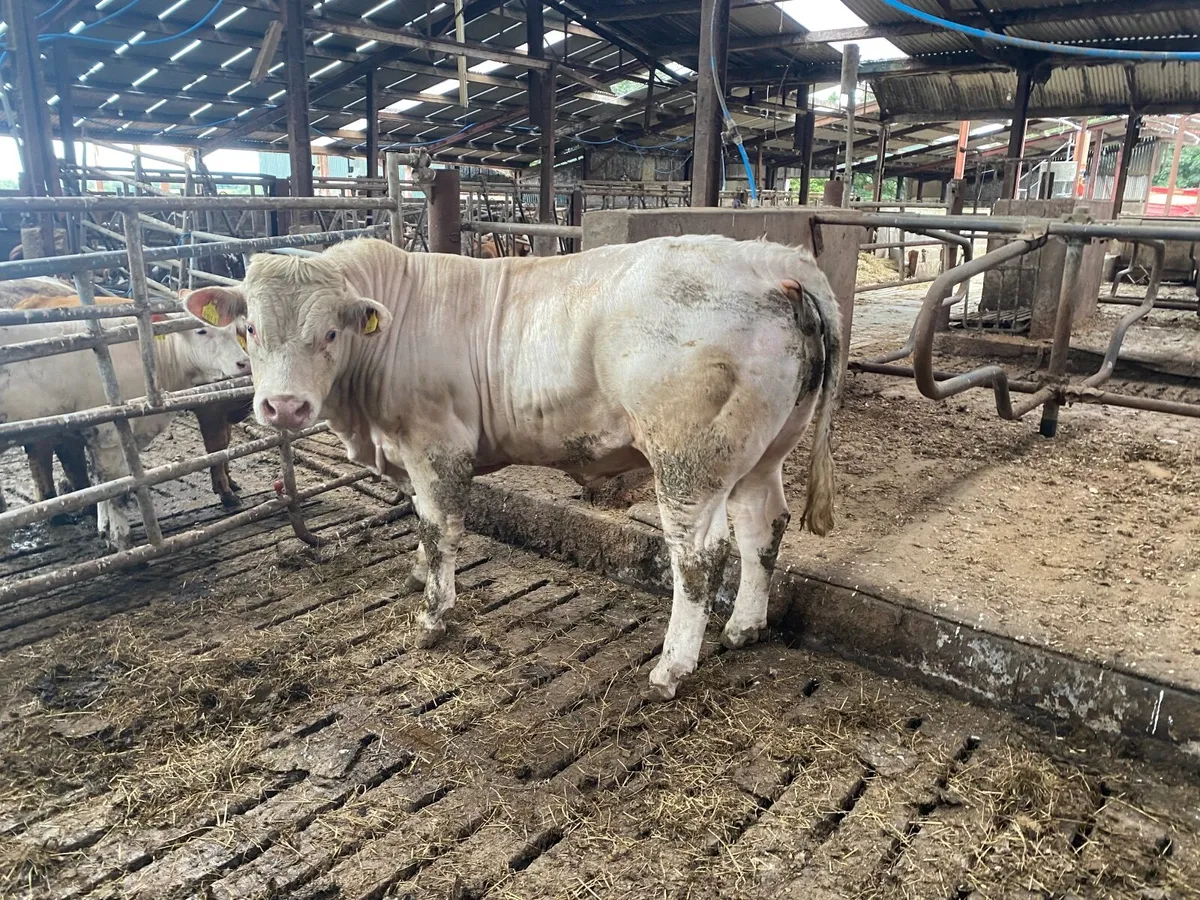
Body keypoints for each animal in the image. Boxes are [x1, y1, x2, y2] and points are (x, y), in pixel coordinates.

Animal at [0, 303, 250, 548]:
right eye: (201, 331)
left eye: (236, 330)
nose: (244, 362)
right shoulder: (109, 430)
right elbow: (113, 482)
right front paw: (119, 535)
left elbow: (102, 479)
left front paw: (105, 527)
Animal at [185, 234, 840, 701]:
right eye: (249, 329)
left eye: (328, 332)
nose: (283, 407)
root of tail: (772, 259)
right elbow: (420, 522)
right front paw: (418, 577)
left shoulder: (437, 446)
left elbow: (439, 528)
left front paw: (434, 615)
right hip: (765, 451)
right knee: (763, 527)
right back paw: (745, 626)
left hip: (688, 460)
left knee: (699, 556)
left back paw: (672, 666)